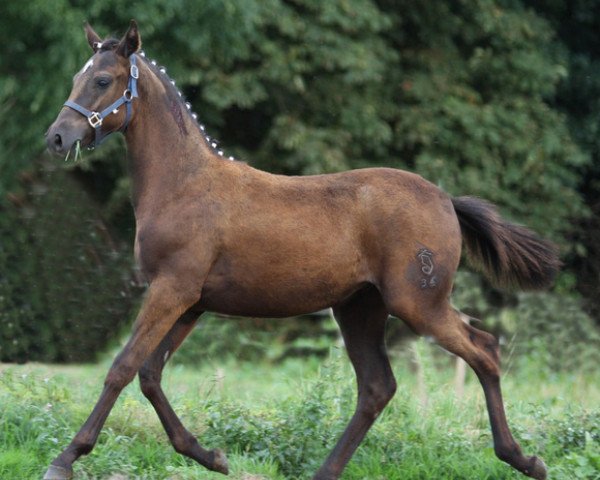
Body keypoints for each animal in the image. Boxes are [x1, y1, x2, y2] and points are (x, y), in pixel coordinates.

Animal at [45, 21, 556, 480]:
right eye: (73, 78)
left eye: (103, 80)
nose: (56, 138)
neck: (183, 185)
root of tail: (447, 199)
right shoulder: (191, 302)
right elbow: (151, 374)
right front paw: (210, 456)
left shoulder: (172, 289)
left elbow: (123, 367)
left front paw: (65, 459)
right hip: (359, 308)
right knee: (377, 387)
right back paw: (326, 471)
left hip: (418, 304)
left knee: (484, 350)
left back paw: (523, 459)